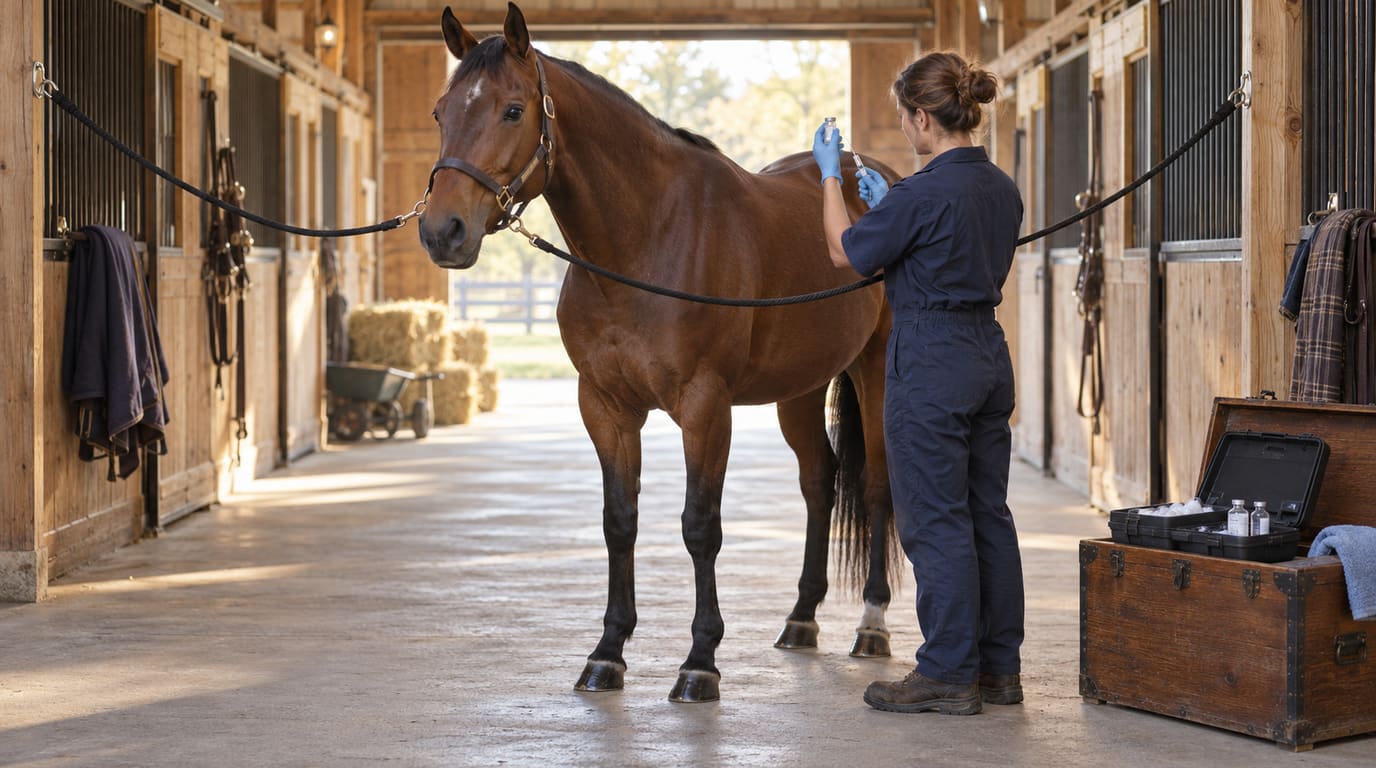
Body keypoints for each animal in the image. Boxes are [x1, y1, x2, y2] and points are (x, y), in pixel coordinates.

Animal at [419, 2, 901, 703]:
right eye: (440, 113)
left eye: (512, 110)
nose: (442, 232)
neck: (647, 237)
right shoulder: (606, 406)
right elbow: (619, 521)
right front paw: (607, 654)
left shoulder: (705, 407)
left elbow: (700, 525)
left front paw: (700, 662)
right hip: (801, 386)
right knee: (820, 481)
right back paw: (800, 620)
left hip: (874, 368)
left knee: (874, 485)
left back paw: (872, 626)